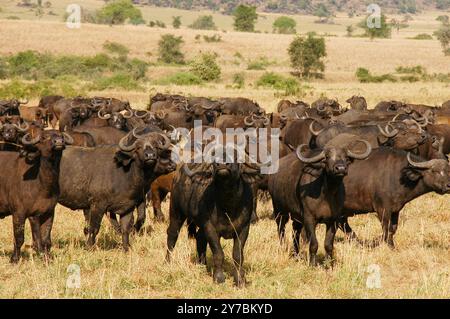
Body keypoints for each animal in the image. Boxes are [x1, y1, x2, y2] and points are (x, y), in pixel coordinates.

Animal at [0, 129, 72, 262]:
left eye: (61, 135)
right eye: (44, 137)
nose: (59, 142)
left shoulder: (48, 213)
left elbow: (46, 239)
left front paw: (47, 257)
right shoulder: (21, 213)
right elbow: (20, 238)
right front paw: (14, 259)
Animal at [268, 134, 370, 264]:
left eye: (346, 158)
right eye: (327, 157)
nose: (340, 168)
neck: (326, 195)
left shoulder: (334, 220)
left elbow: (328, 244)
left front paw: (329, 263)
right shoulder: (309, 219)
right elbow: (313, 244)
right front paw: (312, 263)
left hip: (296, 216)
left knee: (295, 231)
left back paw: (296, 253)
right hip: (279, 210)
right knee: (281, 229)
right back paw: (284, 247)